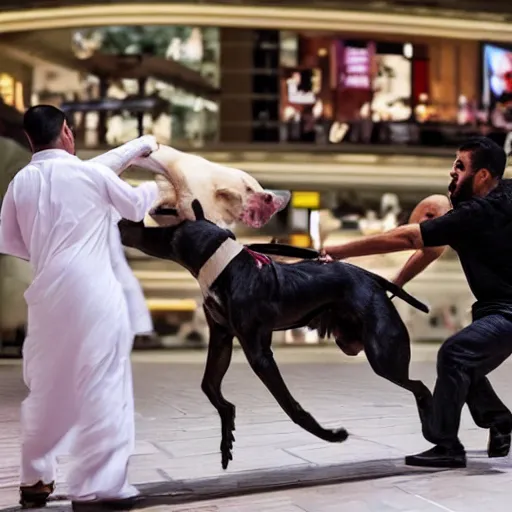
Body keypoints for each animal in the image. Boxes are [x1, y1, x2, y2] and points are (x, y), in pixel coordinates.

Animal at [119, 201, 432, 472]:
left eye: (166, 220)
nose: (123, 222)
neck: (223, 265)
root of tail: (374, 280)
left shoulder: (258, 352)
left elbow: (290, 406)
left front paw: (330, 435)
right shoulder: (222, 337)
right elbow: (209, 386)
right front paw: (227, 433)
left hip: (384, 357)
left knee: (420, 387)